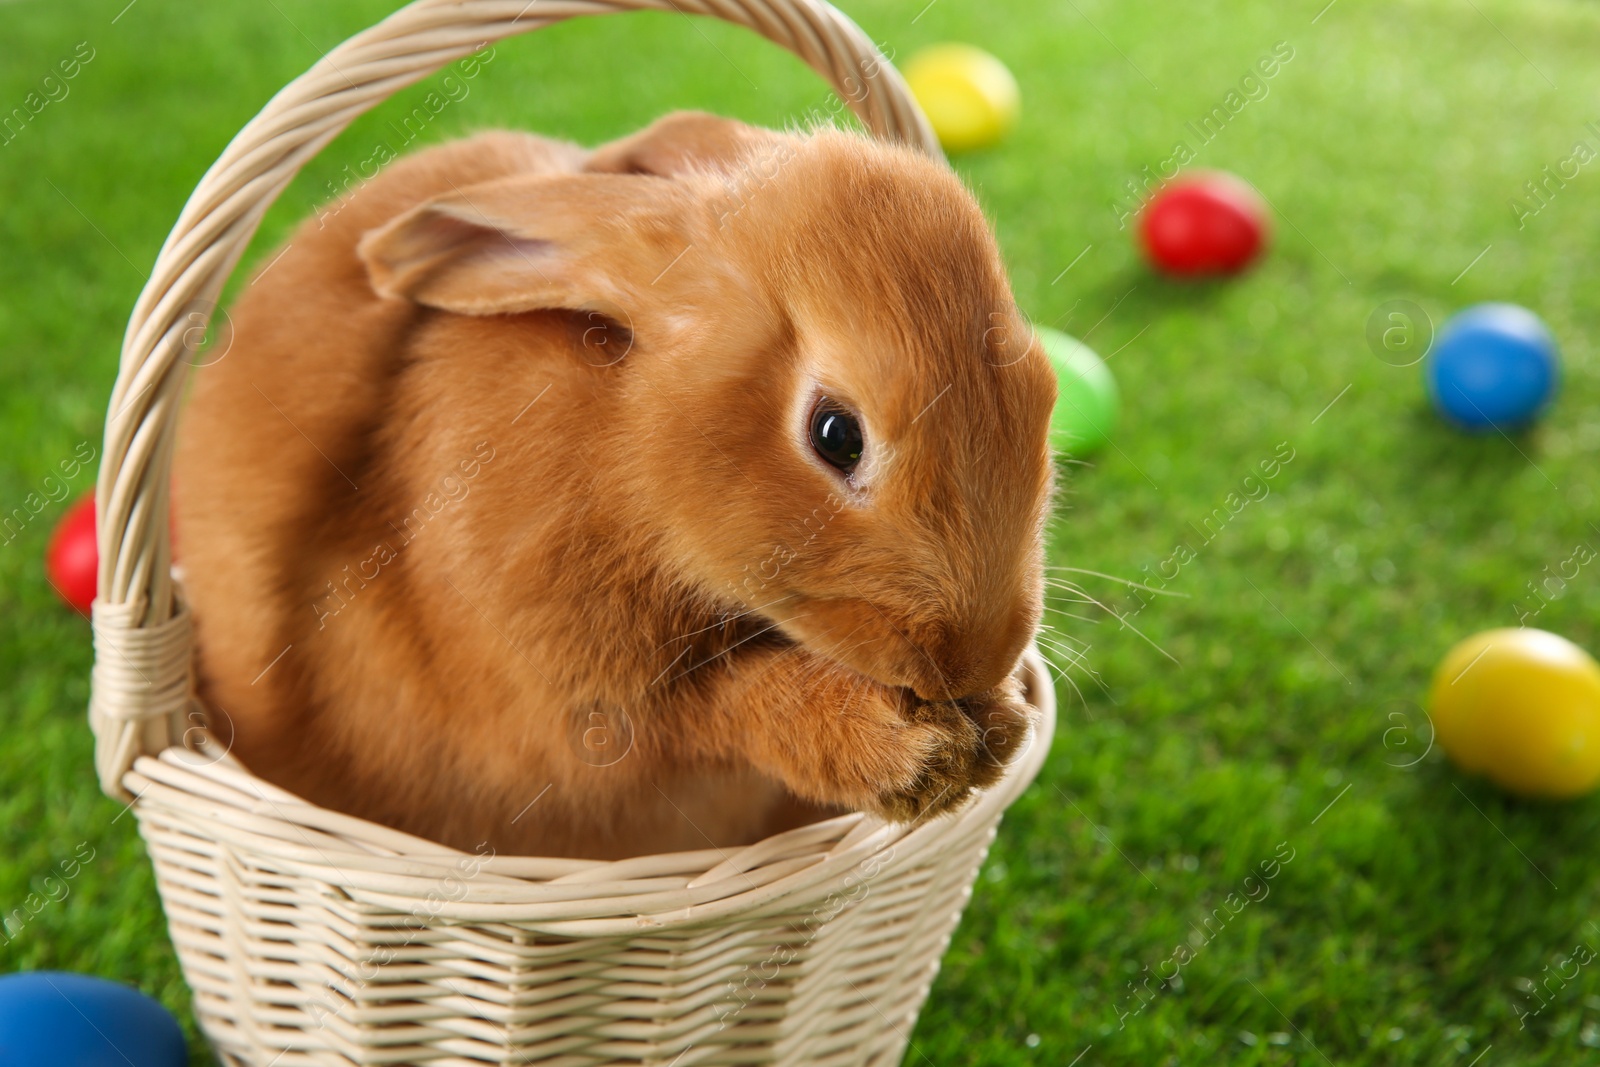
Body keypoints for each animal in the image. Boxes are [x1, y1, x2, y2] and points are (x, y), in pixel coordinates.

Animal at [175, 110, 1056, 857]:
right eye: (836, 435)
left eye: (1043, 388)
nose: (975, 655)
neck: (629, 448)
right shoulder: (585, 701)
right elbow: (727, 710)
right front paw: (913, 753)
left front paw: (1001, 723)